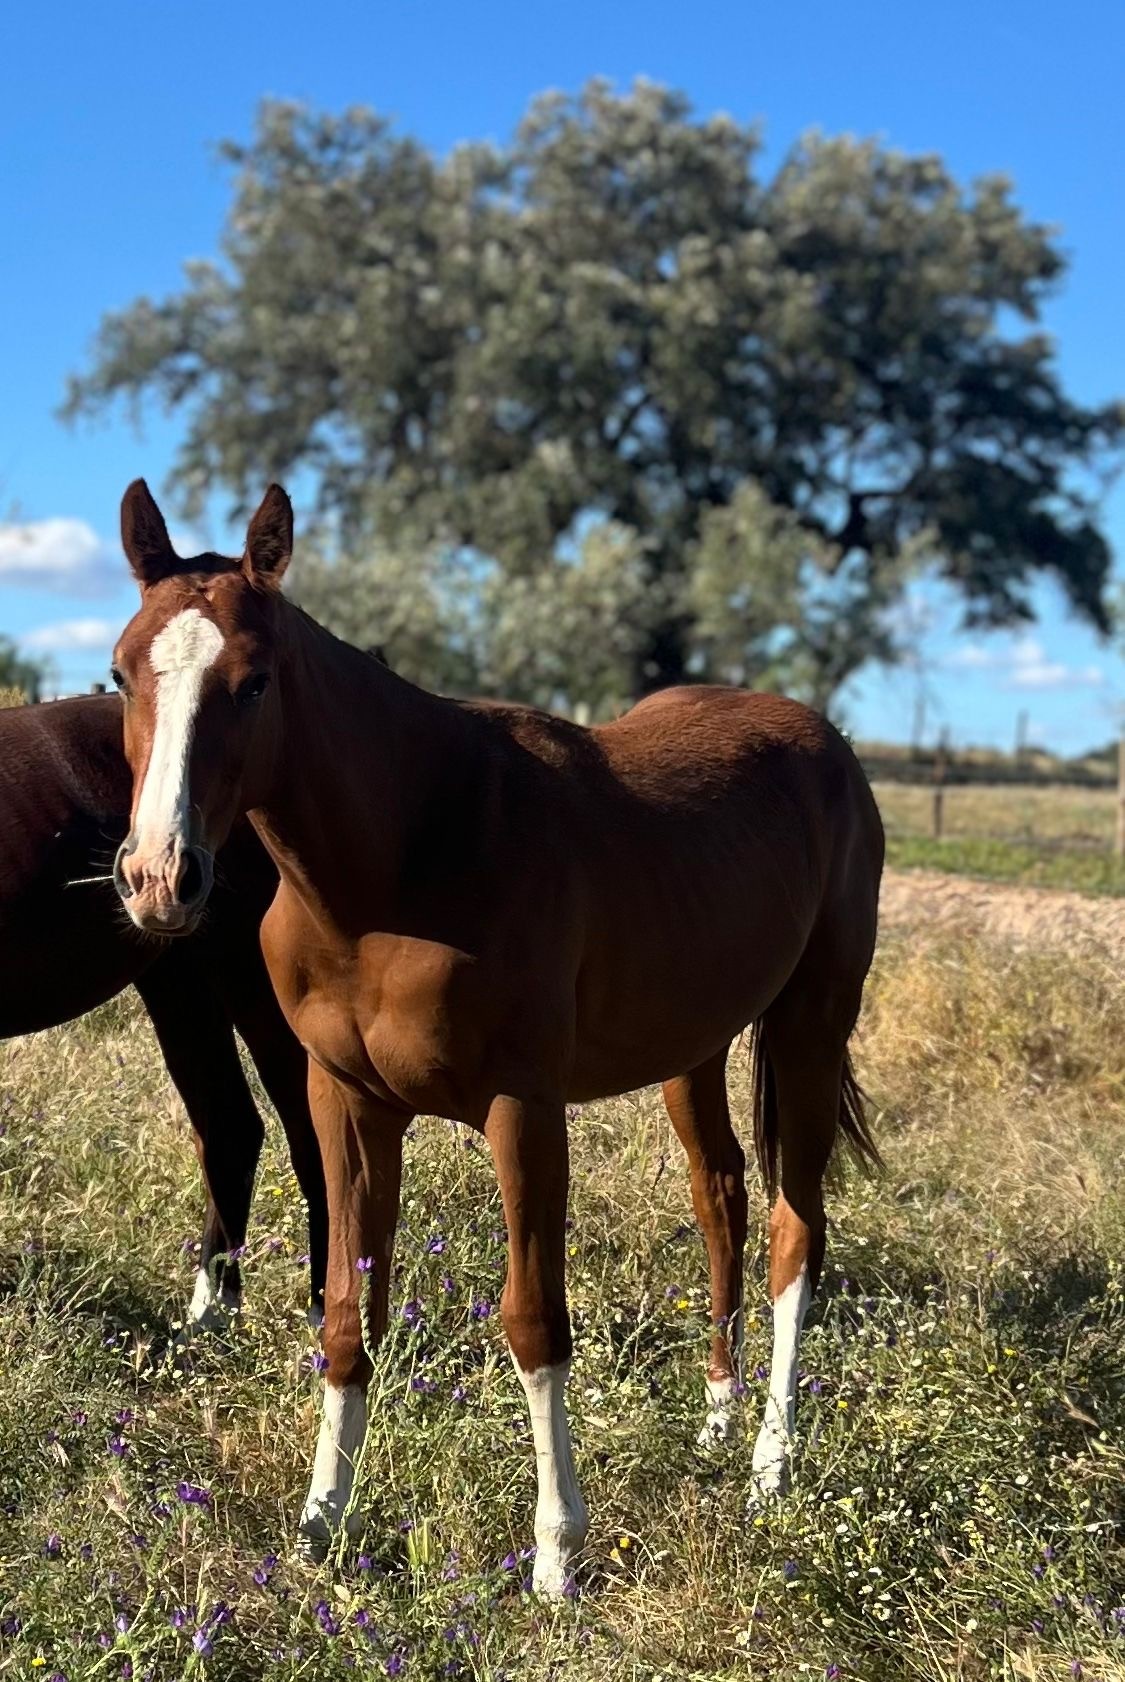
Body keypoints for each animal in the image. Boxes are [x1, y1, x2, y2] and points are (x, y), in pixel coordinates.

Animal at [106, 479, 883, 1595]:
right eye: (121, 672)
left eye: (252, 682)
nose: (159, 878)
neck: (404, 858)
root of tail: (828, 742)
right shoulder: (347, 1105)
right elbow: (347, 1313)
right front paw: (320, 1524)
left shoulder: (523, 1109)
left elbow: (533, 1320)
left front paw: (558, 1553)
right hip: (694, 1045)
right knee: (722, 1197)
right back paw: (715, 1421)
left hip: (811, 1024)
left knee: (794, 1232)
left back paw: (770, 1467)